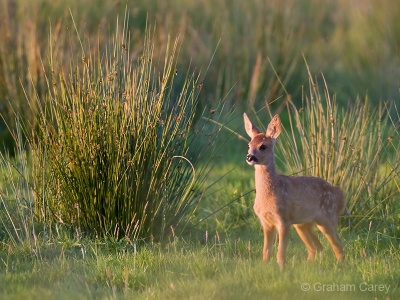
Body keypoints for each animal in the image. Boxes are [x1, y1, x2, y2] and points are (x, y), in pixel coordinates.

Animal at [244, 112, 344, 270]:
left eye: (263, 146)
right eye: (249, 145)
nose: (250, 157)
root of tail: (341, 195)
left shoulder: (284, 219)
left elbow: (280, 251)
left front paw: (282, 269)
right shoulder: (266, 221)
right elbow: (266, 251)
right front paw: (265, 267)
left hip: (327, 217)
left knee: (338, 245)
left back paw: (340, 266)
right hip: (303, 224)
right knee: (317, 248)